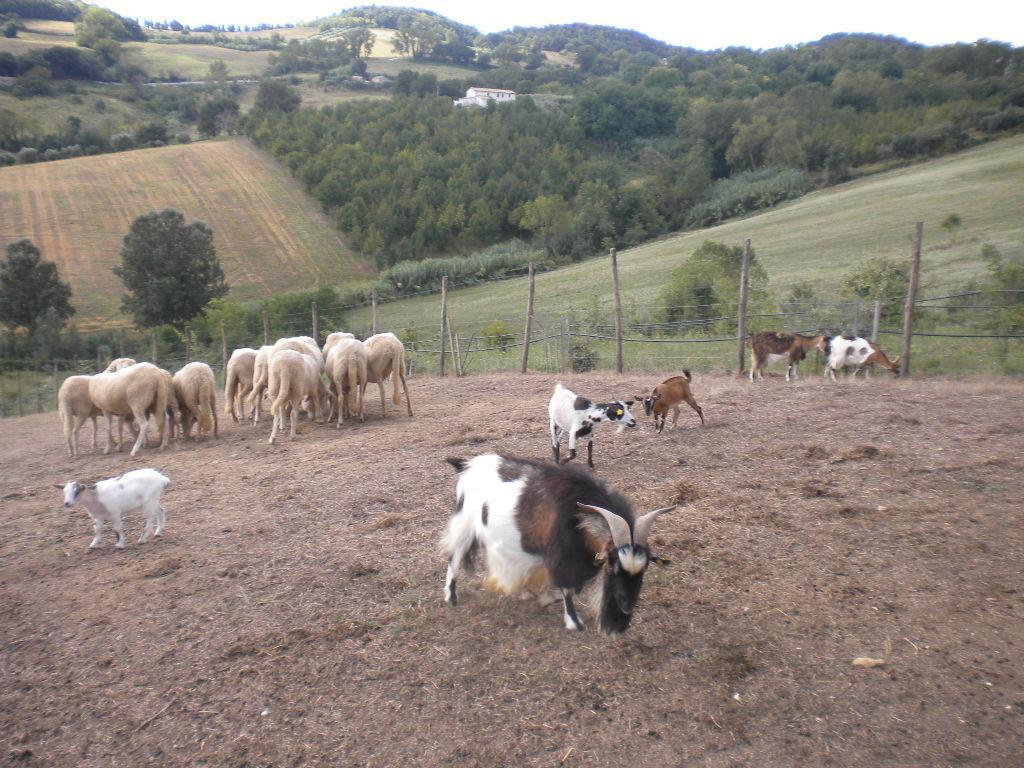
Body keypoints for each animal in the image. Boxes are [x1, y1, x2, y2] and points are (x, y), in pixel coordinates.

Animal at [440, 454, 671, 634]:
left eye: (645, 568)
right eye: (613, 566)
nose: (627, 607)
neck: (576, 515)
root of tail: (467, 465)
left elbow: (572, 588)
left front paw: (546, 597)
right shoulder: (562, 558)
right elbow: (568, 589)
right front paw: (574, 622)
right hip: (465, 523)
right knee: (454, 555)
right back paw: (451, 596)